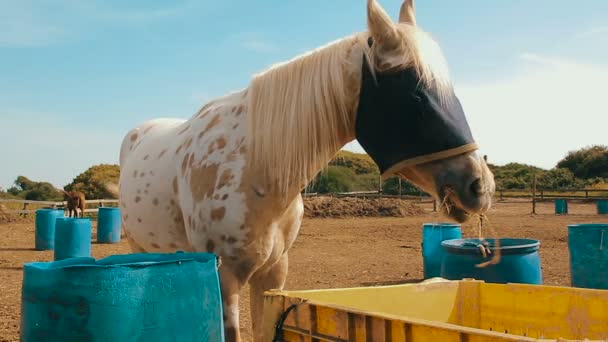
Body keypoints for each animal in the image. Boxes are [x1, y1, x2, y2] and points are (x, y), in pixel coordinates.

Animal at [113, 1, 494, 340]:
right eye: (415, 96)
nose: (480, 185)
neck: (256, 168)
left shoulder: (273, 274)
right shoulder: (226, 280)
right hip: (140, 248)